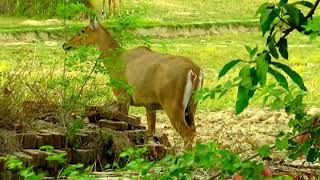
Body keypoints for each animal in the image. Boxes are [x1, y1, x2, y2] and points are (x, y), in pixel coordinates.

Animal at [61, 19, 204, 149]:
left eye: (82, 31)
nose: (65, 44)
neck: (116, 59)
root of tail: (195, 70)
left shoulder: (123, 96)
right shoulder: (150, 105)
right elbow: (150, 133)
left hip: (173, 106)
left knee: (188, 133)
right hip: (192, 106)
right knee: (194, 130)